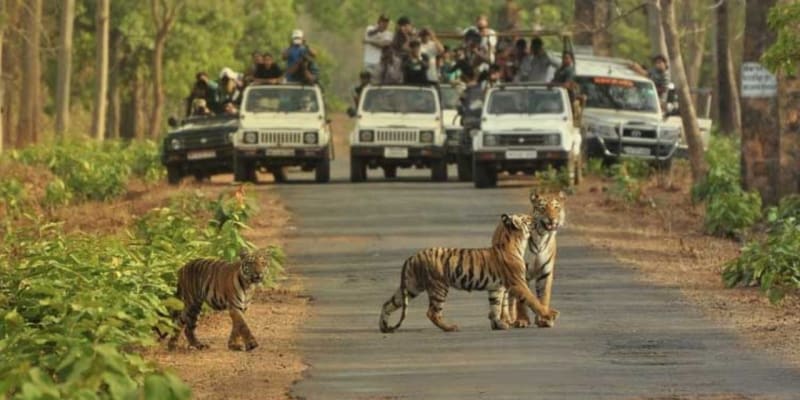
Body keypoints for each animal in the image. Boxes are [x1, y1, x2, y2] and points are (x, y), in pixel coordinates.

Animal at [380, 214, 556, 332]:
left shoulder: (496, 288)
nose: (536, 218)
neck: (514, 242)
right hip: (439, 287)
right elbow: (533, 300)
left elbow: (495, 307)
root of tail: (412, 256)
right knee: (432, 313)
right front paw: (550, 315)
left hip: (411, 286)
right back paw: (450, 327)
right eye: (527, 218)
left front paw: (498, 324)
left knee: (388, 303)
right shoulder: (518, 283)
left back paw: (383, 326)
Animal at [504, 191, 564, 328]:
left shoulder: (545, 273)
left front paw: (544, 319)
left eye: (556, 207)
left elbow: (544, 296)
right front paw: (522, 320)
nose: (552, 218)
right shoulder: (521, 273)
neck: (542, 237)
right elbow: (522, 300)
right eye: (542, 208)